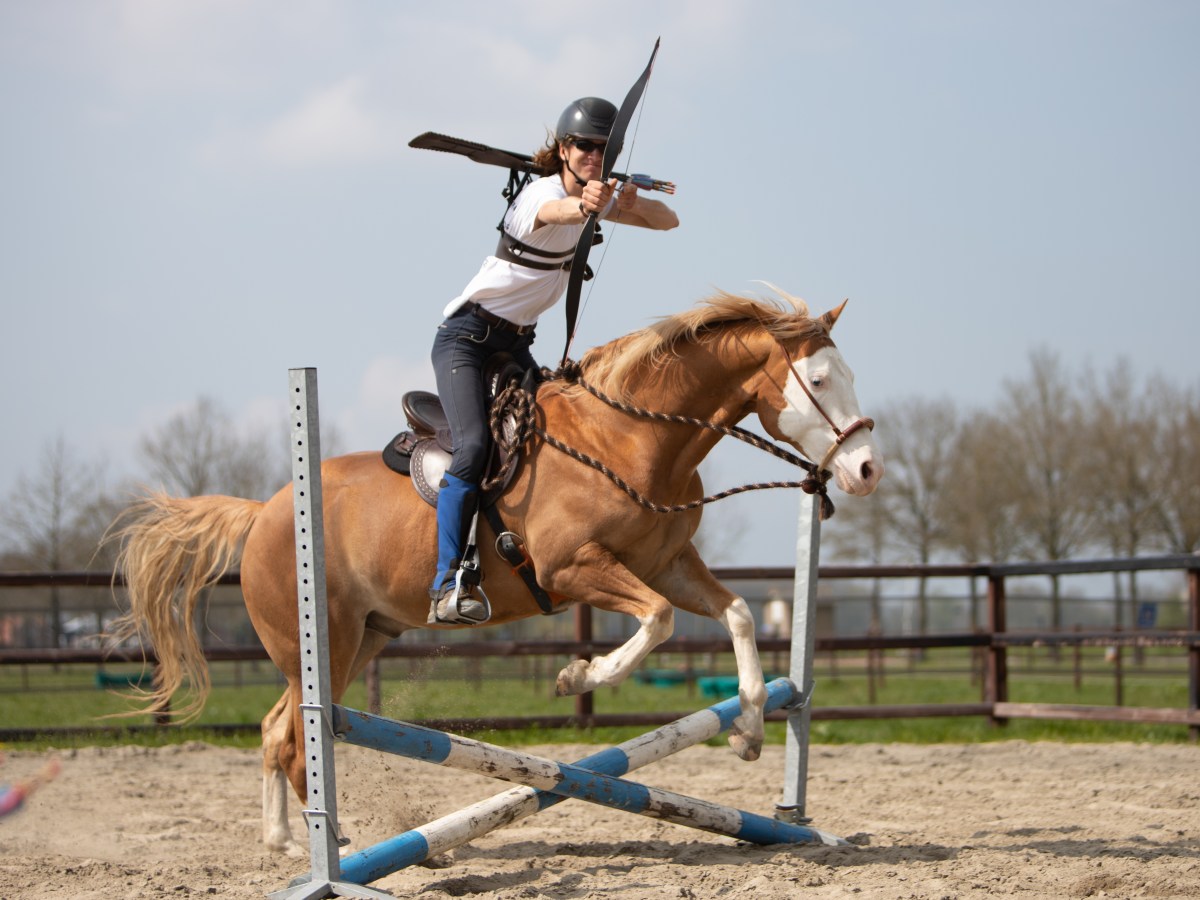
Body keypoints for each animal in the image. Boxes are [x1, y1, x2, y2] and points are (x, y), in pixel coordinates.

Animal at [110, 290, 883, 855]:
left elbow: (737, 614)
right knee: (300, 742)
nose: (867, 471)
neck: (630, 440)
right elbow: (657, 623)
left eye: (850, 375)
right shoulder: (577, 569)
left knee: (277, 730)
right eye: (819, 380)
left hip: (360, 640)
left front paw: (748, 731)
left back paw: (281, 841)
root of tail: (267, 511)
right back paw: (335, 847)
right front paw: (578, 676)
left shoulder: (666, 564)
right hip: (320, 642)